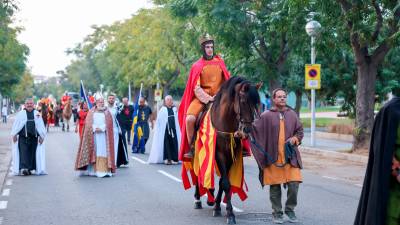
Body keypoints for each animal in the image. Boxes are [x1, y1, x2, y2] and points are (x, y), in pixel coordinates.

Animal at [195, 77, 262, 223]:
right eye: (243, 101)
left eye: (256, 103)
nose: (247, 130)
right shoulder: (218, 154)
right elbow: (225, 183)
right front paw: (230, 214)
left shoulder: (231, 156)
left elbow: (223, 182)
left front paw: (218, 206)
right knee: (197, 173)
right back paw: (197, 199)